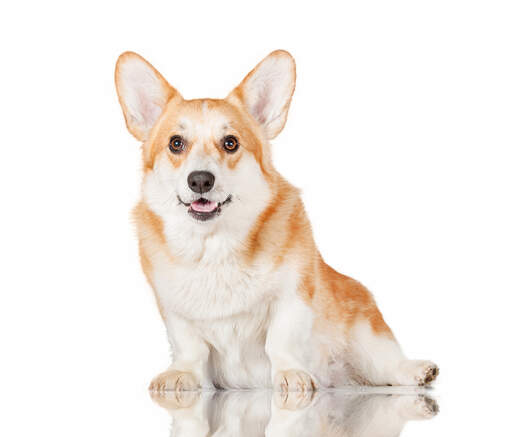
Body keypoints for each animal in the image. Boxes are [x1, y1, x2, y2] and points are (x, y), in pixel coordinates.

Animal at [115, 49, 436, 390]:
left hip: (365, 332)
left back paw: (416, 370)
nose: (200, 180)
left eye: (230, 142)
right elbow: (189, 347)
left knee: (385, 365)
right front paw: (183, 374)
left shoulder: (293, 296)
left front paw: (290, 374)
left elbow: (281, 340)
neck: (214, 247)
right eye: (176, 143)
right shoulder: (174, 312)